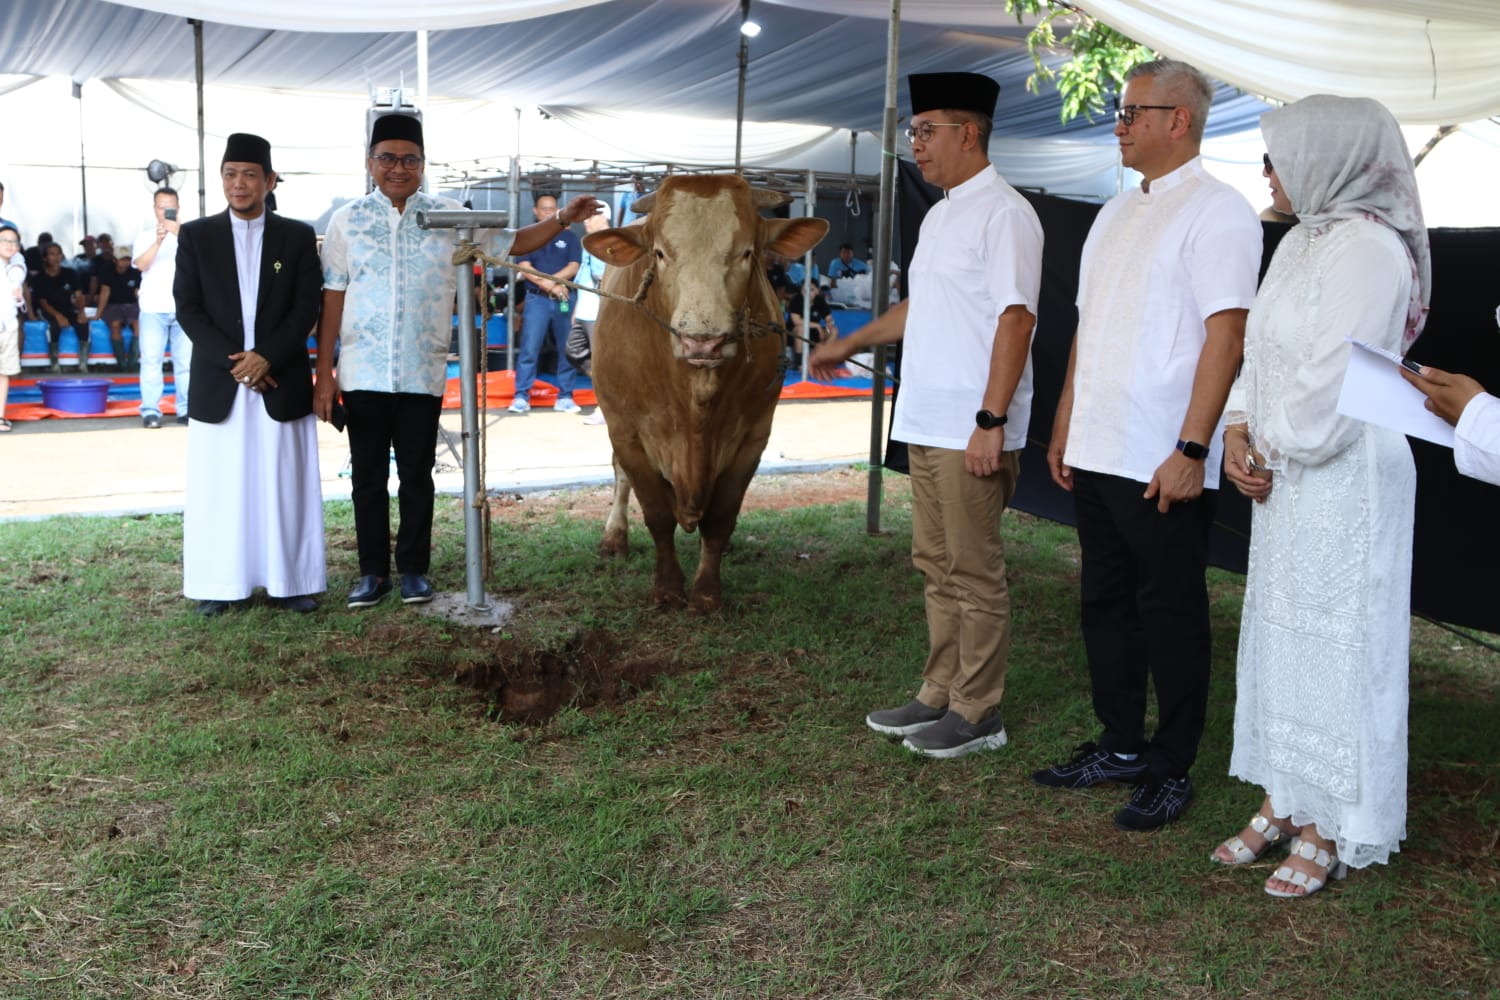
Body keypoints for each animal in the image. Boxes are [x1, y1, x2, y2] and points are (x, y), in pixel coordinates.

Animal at [579, 176, 828, 614]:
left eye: (747, 252)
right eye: (660, 253)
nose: (703, 341)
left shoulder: (752, 436)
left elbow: (721, 517)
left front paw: (708, 593)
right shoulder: (627, 431)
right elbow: (657, 514)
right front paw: (667, 589)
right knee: (620, 476)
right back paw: (615, 537)